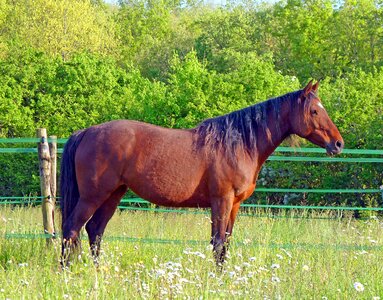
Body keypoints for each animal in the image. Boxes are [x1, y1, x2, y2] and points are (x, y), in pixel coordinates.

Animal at [60, 81, 344, 266]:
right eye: (314, 111)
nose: (338, 144)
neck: (238, 144)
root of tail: (87, 132)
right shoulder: (221, 201)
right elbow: (217, 243)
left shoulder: (234, 205)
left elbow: (226, 244)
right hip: (93, 195)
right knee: (72, 228)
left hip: (114, 194)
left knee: (95, 231)